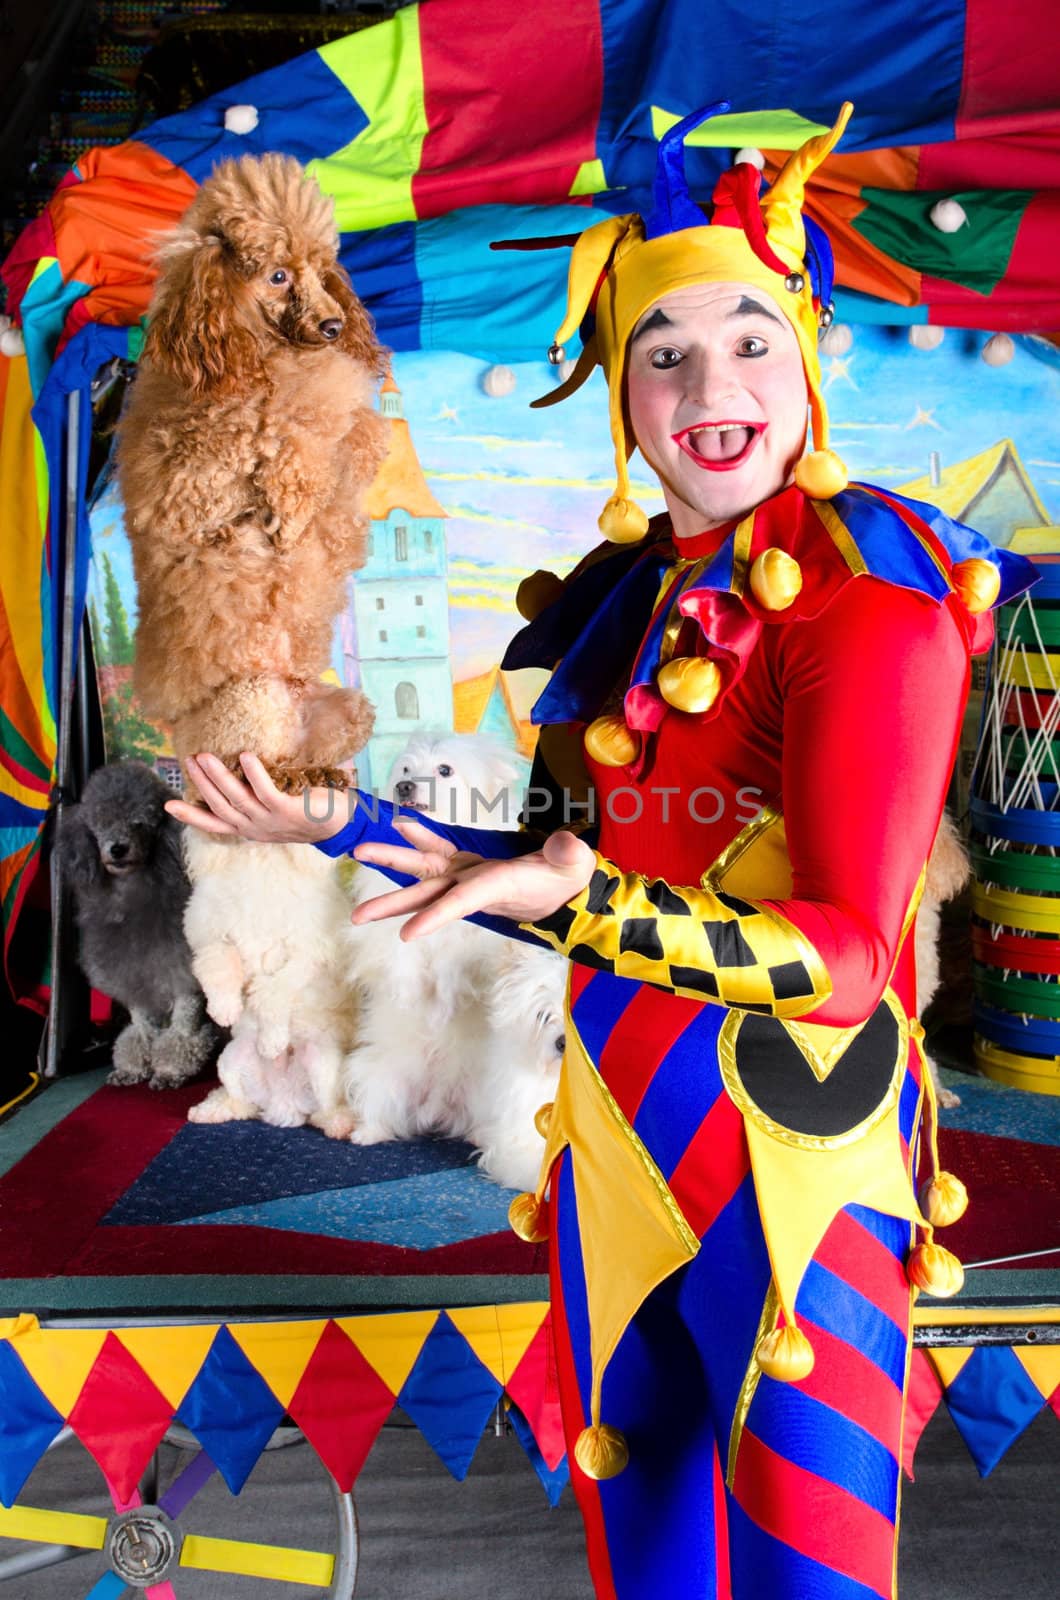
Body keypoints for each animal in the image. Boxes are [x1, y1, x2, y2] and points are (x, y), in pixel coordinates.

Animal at [117, 152, 390, 790]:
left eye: (322, 271)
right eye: (277, 276)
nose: (334, 326)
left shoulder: (346, 431)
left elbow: (355, 438)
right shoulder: (192, 484)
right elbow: (277, 442)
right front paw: (289, 513)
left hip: (344, 709)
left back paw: (318, 776)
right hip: (249, 702)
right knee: (245, 768)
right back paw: (284, 780)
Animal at [184, 825, 358, 1139]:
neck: (259, 859)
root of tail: (282, 1101)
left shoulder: (308, 953)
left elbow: (274, 993)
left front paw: (272, 1043)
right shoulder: (211, 934)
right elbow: (220, 965)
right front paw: (224, 1009)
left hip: (320, 1061)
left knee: (325, 1109)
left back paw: (340, 1124)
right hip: (231, 1059)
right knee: (240, 1103)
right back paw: (210, 1111)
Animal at [344, 732, 570, 1196]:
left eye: (445, 770)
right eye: (405, 770)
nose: (404, 788)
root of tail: (438, 1103)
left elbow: (462, 966)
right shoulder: (389, 922)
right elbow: (402, 954)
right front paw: (412, 993)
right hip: (382, 1076)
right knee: (381, 1108)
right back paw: (366, 1132)